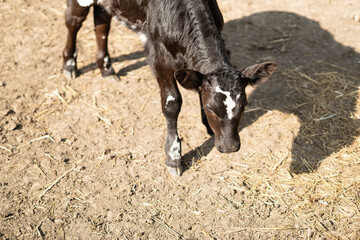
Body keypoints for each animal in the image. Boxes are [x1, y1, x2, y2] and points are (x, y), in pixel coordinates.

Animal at [62, 0, 278, 176]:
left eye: (244, 105)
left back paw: (106, 69)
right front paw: (174, 157)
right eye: (210, 108)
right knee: (74, 20)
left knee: (102, 21)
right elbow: (172, 104)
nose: (230, 146)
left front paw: (208, 127)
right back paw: (69, 64)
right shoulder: (159, 58)